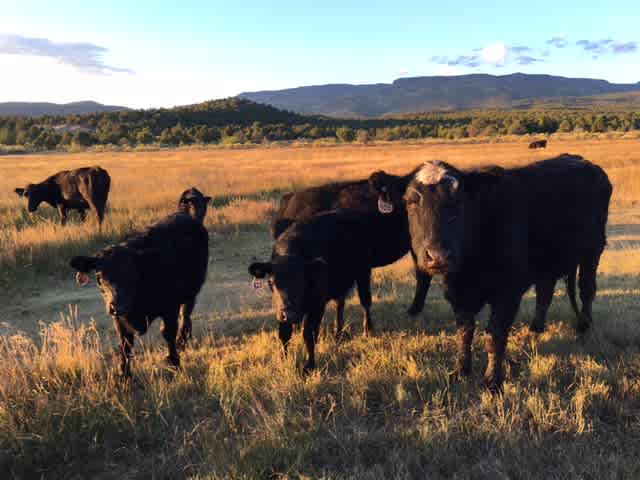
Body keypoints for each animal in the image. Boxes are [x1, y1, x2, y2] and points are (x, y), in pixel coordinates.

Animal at [70, 202, 210, 376]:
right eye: (100, 276)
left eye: (131, 272)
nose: (117, 306)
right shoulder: (119, 319)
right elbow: (125, 344)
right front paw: (124, 374)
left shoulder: (170, 307)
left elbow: (167, 332)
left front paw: (174, 362)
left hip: (191, 291)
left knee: (186, 314)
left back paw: (182, 340)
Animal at [250, 210, 380, 372]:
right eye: (271, 282)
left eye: (302, 281)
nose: (289, 314)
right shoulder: (281, 310)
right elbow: (284, 335)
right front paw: (283, 361)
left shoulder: (317, 305)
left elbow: (308, 335)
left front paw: (309, 365)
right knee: (340, 305)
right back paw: (338, 333)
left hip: (363, 273)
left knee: (365, 302)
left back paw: (367, 330)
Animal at [402, 156, 612, 392]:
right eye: (410, 202)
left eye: (460, 202)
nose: (438, 256)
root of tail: (585, 163)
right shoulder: (458, 294)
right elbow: (464, 332)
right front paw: (460, 371)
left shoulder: (507, 294)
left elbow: (494, 335)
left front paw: (492, 380)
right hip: (547, 264)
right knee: (545, 293)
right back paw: (535, 330)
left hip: (592, 252)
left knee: (587, 290)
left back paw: (583, 327)